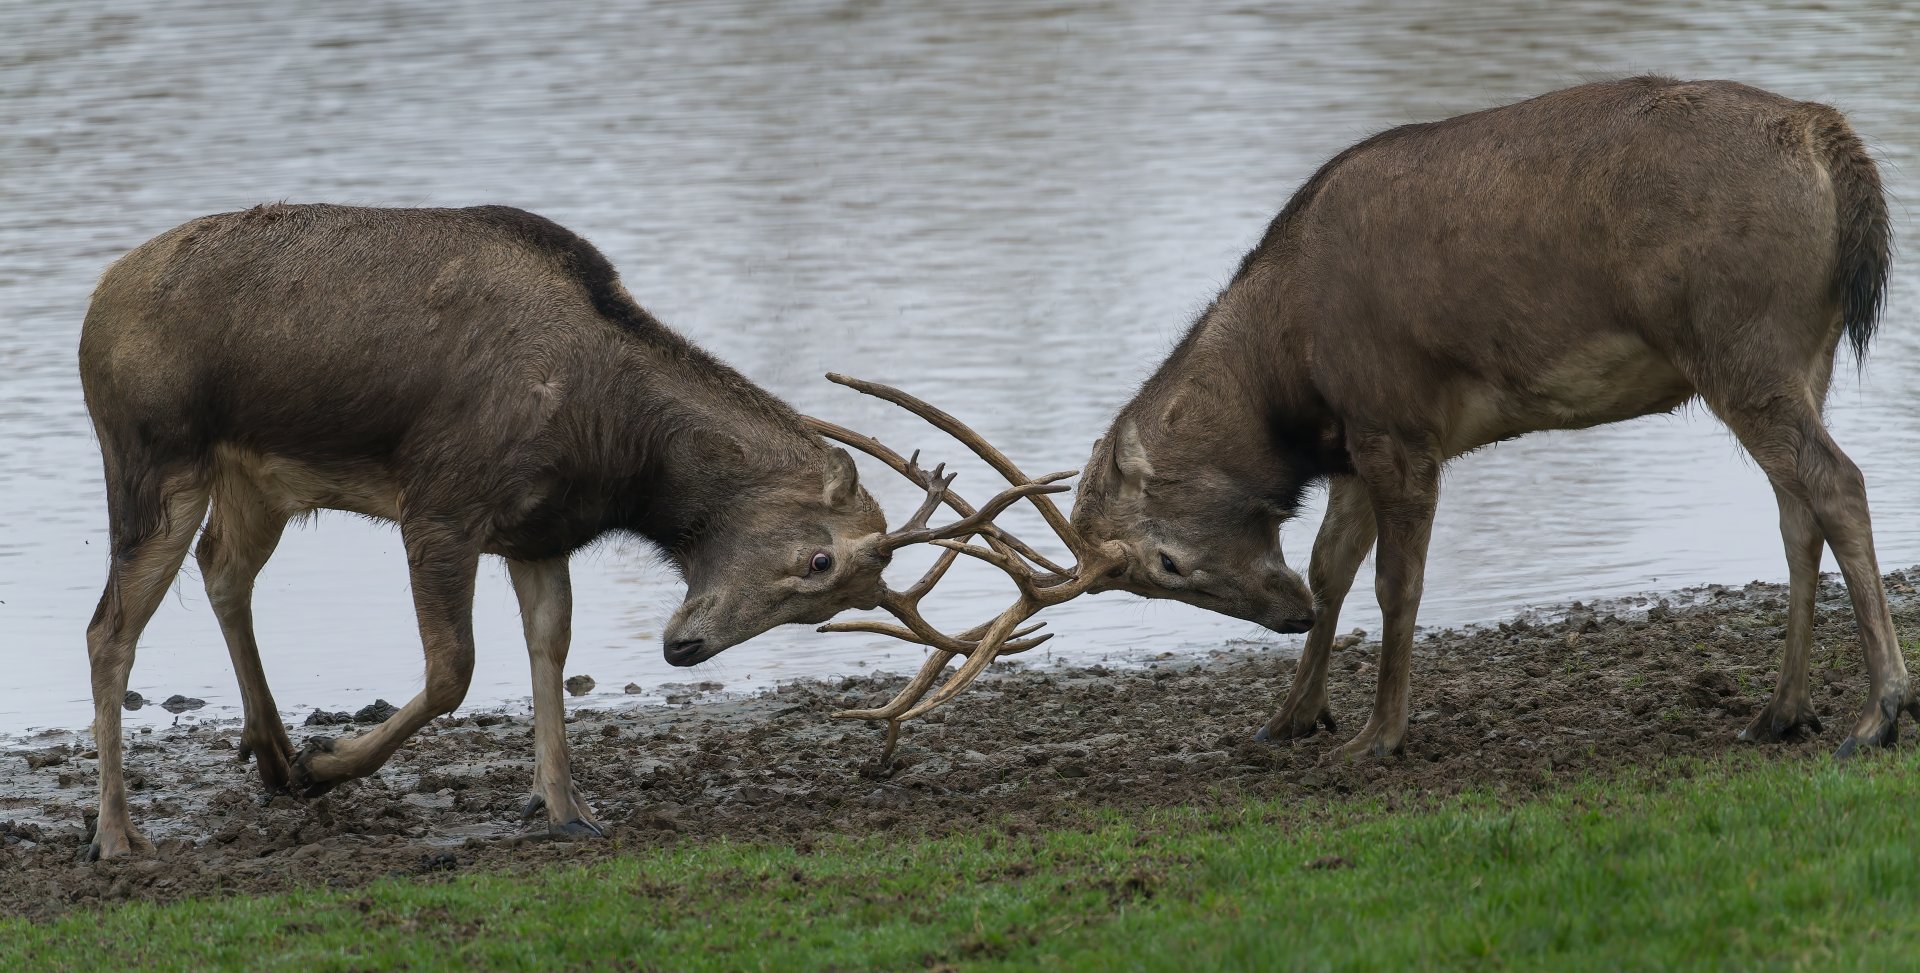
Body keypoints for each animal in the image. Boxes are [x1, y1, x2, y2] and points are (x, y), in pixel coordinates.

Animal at [75, 203, 1057, 860]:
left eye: (823, 608)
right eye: (818, 559)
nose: (684, 646)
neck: (620, 454)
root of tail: (92, 310)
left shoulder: (538, 533)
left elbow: (548, 651)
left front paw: (564, 807)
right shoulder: (442, 503)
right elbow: (454, 672)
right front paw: (331, 765)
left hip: (256, 482)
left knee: (222, 571)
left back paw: (270, 753)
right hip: (153, 459)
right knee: (108, 628)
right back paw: (121, 833)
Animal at [807, 76, 1902, 770]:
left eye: (1164, 563)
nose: (1278, 611)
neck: (1291, 375)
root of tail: (1832, 149)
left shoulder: (1398, 423)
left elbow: (1396, 584)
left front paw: (1378, 736)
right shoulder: (1349, 450)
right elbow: (1333, 565)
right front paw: (1288, 716)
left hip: (1743, 342)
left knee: (1838, 483)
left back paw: (1878, 712)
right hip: (1796, 355)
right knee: (1796, 510)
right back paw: (1780, 709)